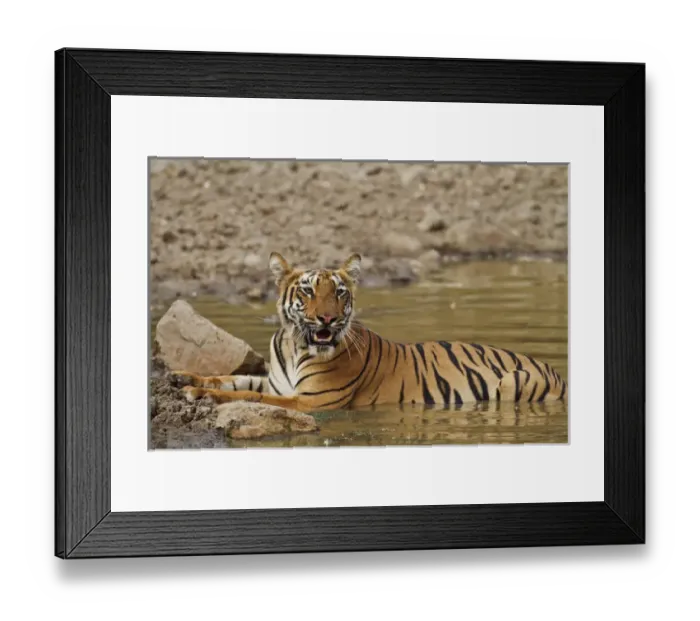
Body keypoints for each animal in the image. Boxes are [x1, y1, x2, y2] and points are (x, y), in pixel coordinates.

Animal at [170, 252, 567, 412]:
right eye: (308, 290)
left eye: (339, 292)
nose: (327, 319)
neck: (296, 345)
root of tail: (555, 370)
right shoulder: (276, 382)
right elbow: (233, 379)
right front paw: (181, 378)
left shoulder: (309, 401)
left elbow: (248, 396)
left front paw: (198, 393)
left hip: (511, 382)